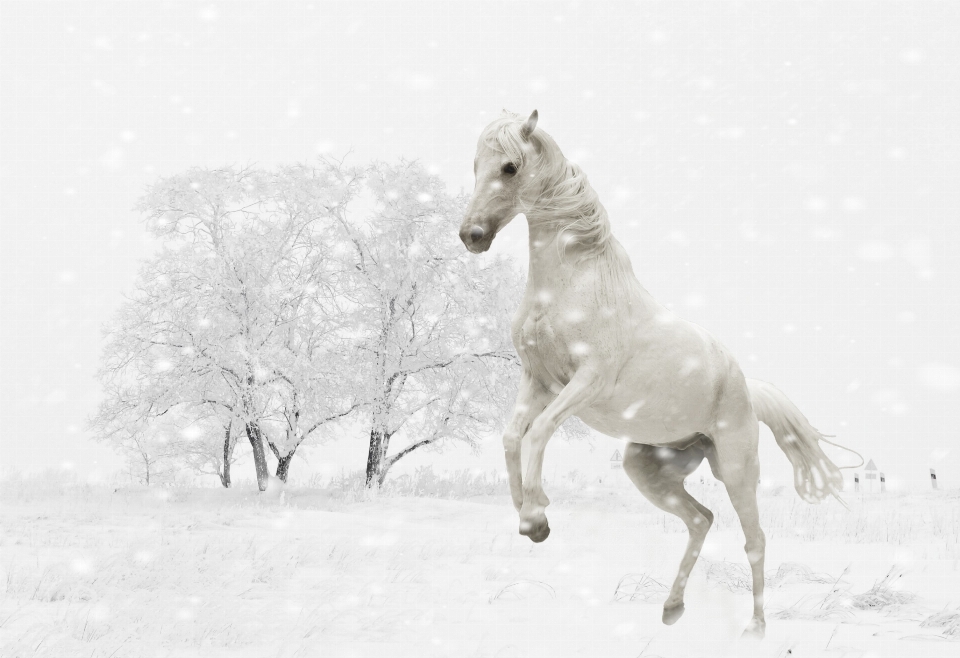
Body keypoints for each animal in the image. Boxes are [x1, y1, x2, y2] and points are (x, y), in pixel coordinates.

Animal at [462, 109, 860, 636]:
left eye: (509, 167)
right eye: (475, 166)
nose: (471, 236)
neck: (573, 284)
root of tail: (744, 385)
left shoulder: (584, 384)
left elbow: (539, 432)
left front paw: (534, 517)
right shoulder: (538, 380)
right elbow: (511, 437)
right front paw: (534, 519)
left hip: (737, 470)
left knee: (754, 538)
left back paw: (755, 628)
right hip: (647, 467)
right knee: (700, 519)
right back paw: (672, 608)